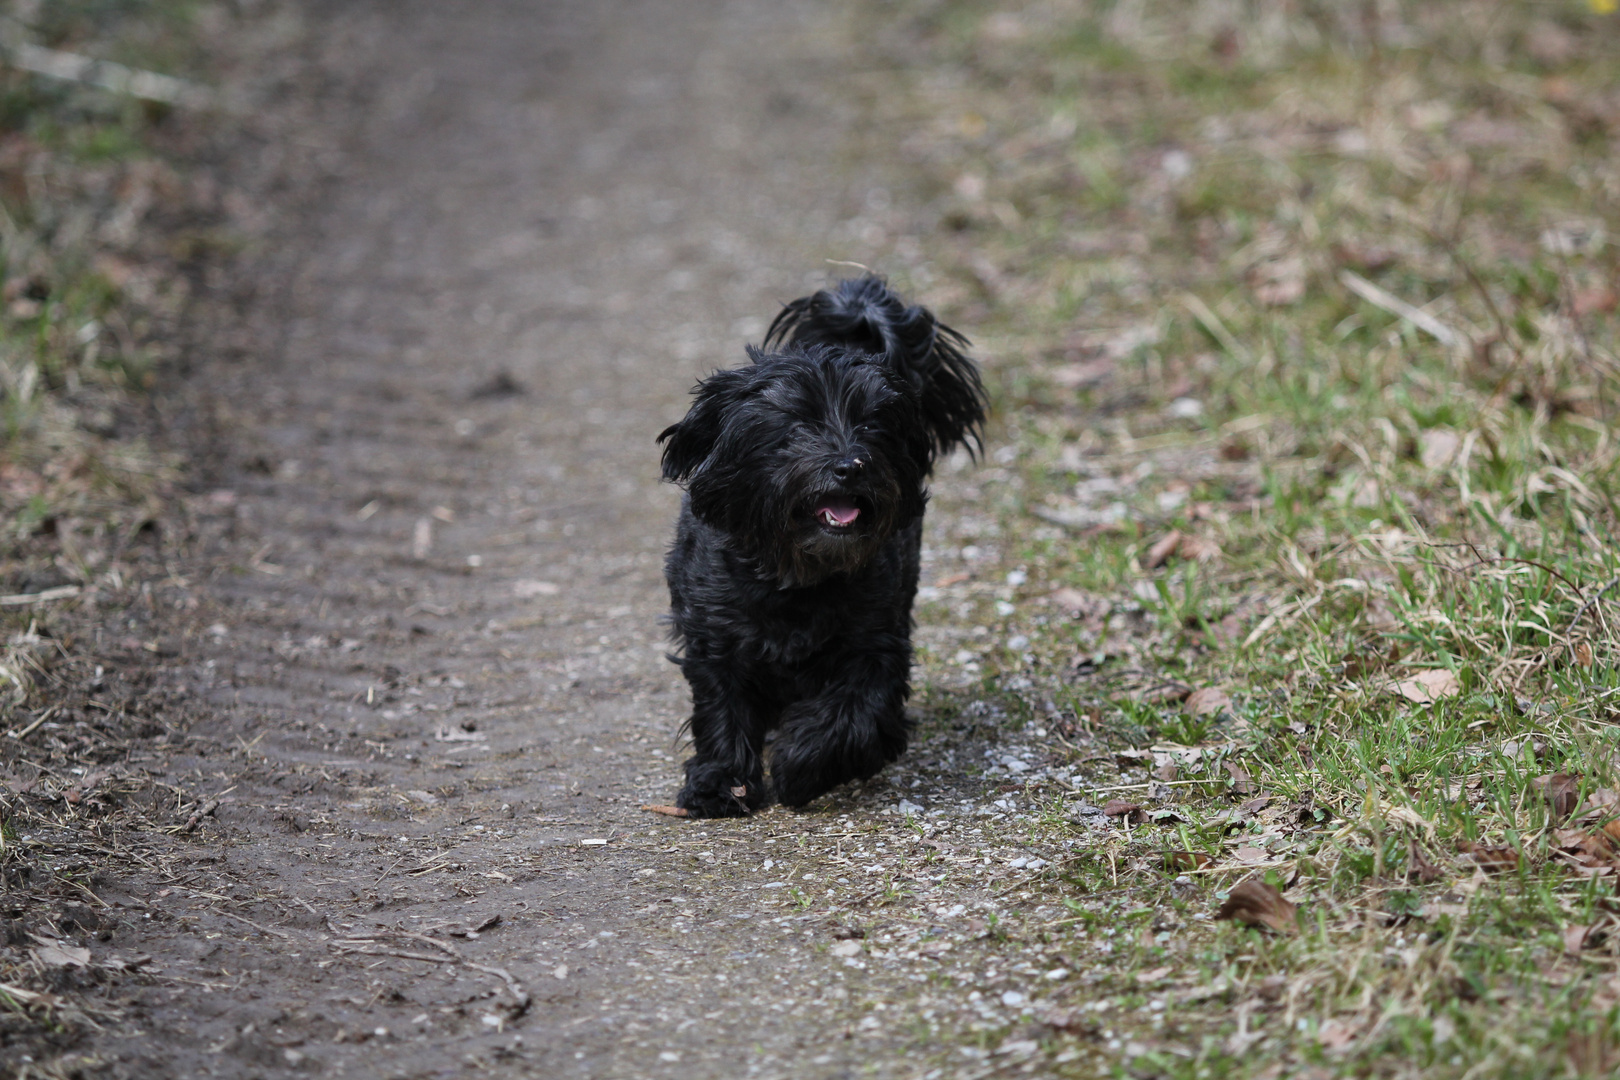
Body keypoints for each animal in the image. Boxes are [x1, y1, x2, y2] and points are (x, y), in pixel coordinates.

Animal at [657, 278, 984, 819]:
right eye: (797, 426)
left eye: (872, 425)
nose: (850, 465)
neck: (797, 578)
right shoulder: (715, 639)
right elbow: (721, 708)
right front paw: (720, 783)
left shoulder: (876, 642)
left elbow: (854, 713)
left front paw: (800, 764)